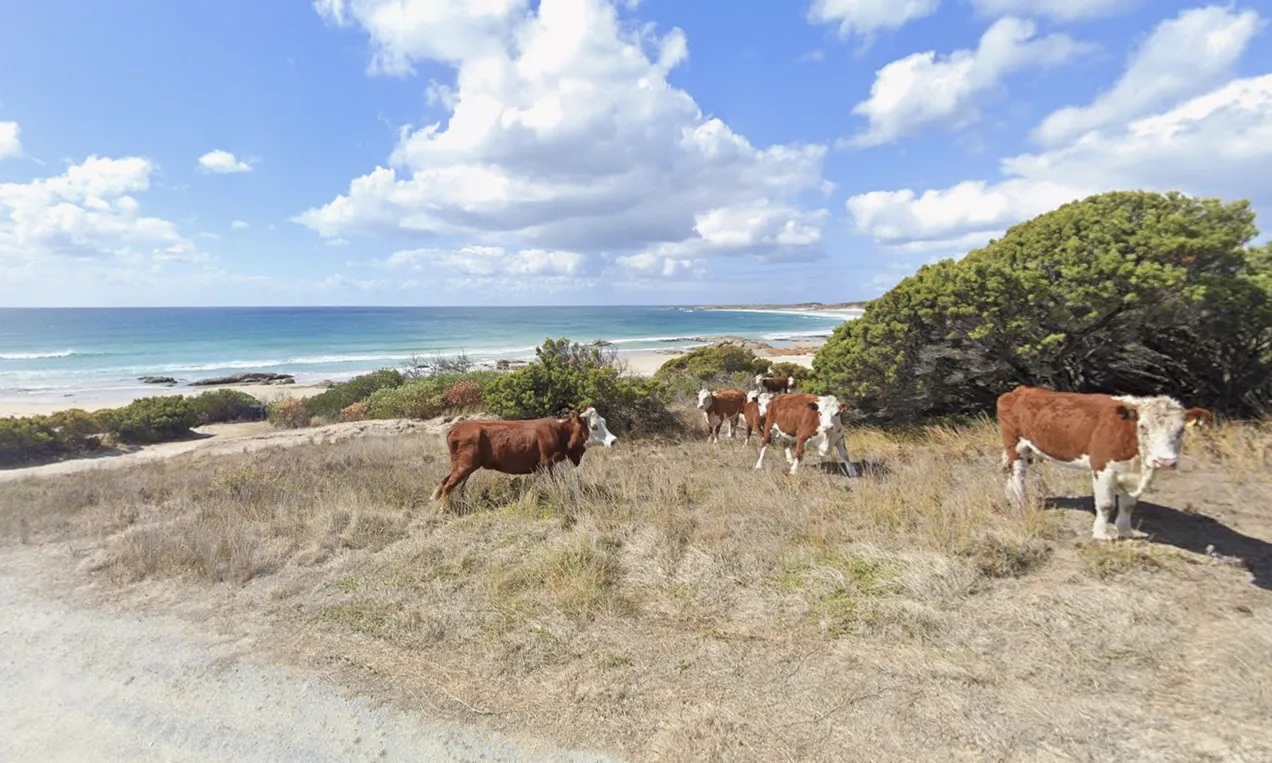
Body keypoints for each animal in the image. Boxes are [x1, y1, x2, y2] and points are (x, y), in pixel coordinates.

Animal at [429, 409, 618, 508]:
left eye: (605, 422)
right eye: (594, 427)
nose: (613, 440)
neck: (562, 433)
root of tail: (458, 426)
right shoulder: (547, 466)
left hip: (461, 466)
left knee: (446, 481)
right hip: (465, 466)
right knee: (448, 485)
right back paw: (444, 510)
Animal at [992, 384, 1210, 539]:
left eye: (1181, 430)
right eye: (1143, 426)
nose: (1165, 461)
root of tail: (1020, 390)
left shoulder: (1137, 475)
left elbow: (1128, 505)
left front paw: (1126, 532)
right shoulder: (1102, 468)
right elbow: (1106, 505)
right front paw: (1101, 535)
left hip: (1028, 449)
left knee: (1011, 473)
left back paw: (1011, 497)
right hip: (1016, 445)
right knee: (1018, 475)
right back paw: (1020, 504)